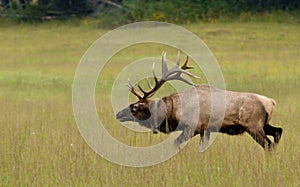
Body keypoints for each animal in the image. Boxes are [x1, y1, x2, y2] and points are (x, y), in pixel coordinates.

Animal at [116, 51, 282, 150]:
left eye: (134, 107)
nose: (118, 114)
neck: (173, 111)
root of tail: (271, 102)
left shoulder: (192, 127)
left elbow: (176, 144)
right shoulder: (205, 130)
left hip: (254, 126)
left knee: (268, 144)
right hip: (263, 124)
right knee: (278, 131)